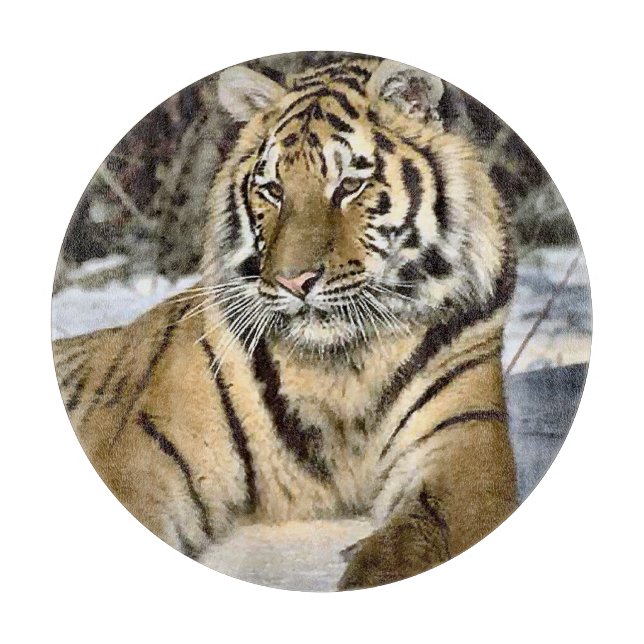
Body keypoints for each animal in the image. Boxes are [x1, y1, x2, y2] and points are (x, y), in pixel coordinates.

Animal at [53, 57, 517, 590]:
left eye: (349, 186)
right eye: (274, 191)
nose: (294, 281)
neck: (340, 367)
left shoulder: (461, 463)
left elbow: (402, 552)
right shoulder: (141, 464)